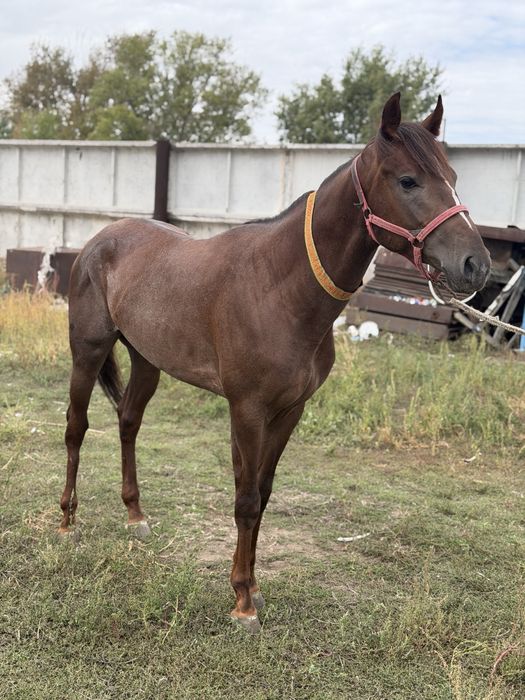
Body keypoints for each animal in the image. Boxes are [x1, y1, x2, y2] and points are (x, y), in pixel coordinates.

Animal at [59, 93, 490, 632]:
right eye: (408, 180)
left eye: (452, 175)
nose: (475, 264)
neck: (279, 288)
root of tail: (99, 240)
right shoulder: (247, 410)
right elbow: (245, 500)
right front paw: (242, 601)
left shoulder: (289, 411)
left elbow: (262, 495)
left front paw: (252, 587)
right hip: (88, 351)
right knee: (76, 428)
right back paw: (67, 521)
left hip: (147, 361)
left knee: (128, 422)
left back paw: (135, 516)